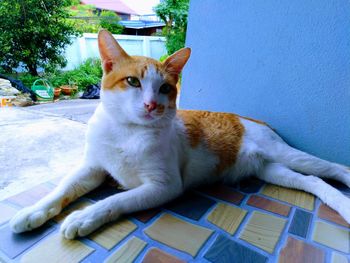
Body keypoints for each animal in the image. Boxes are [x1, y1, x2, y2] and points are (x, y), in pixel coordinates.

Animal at [10, 29, 350, 240]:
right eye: (132, 82)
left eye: (164, 89)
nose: (151, 104)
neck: (126, 132)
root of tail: (254, 119)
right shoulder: (92, 168)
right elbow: (62, 189)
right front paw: (33, 211)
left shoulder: (165, 185)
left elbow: (116, 200)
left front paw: (84, 217)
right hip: (272, 170)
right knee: (313, 181)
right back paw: (337, 202)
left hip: (286, 154)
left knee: (333, 168)